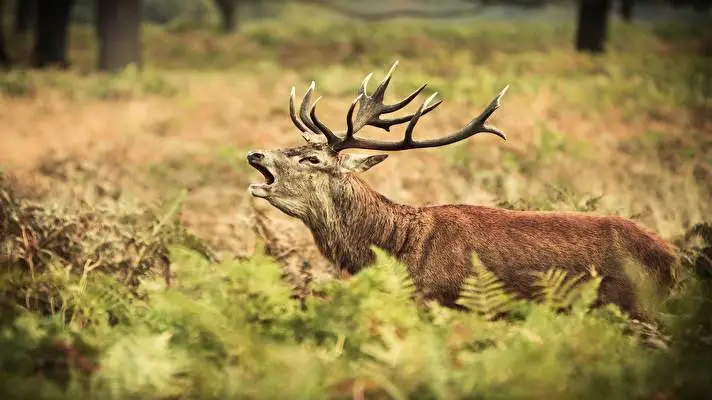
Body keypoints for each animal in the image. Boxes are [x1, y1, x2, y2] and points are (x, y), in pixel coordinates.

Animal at [246, 62, 678, 319]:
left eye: (312, 159)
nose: (255, 153)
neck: (397, 247)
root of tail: (673, 258)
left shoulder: (439, 302)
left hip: (634, 307)